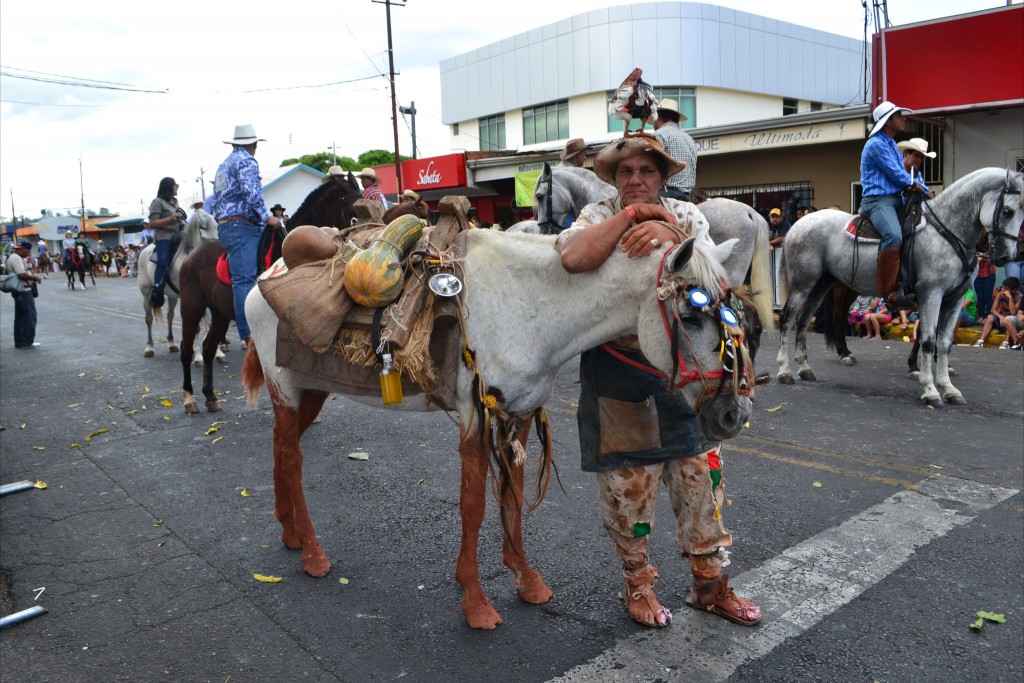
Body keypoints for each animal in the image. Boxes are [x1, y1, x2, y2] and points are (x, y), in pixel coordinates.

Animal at [180, 174, 364, 413]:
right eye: (353, 210)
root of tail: (191, 256)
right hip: (191, 309)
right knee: (186, 350)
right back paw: (189, 398)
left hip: (219, 315)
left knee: (209, 348)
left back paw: (210, 395)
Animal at [239, 225, 753, 630]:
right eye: (689, 316)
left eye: (735, 314)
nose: (733, 413)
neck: (531, 305)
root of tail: (266, 277)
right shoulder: (474, 414)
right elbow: (473, 505)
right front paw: (475, 602)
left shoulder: (519, 415)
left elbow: (514, 496)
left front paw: (526, 579)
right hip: (286, 388)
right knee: (292, 457)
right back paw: (312, 552)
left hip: (312, 388)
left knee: (280, 448)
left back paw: (289, 530)